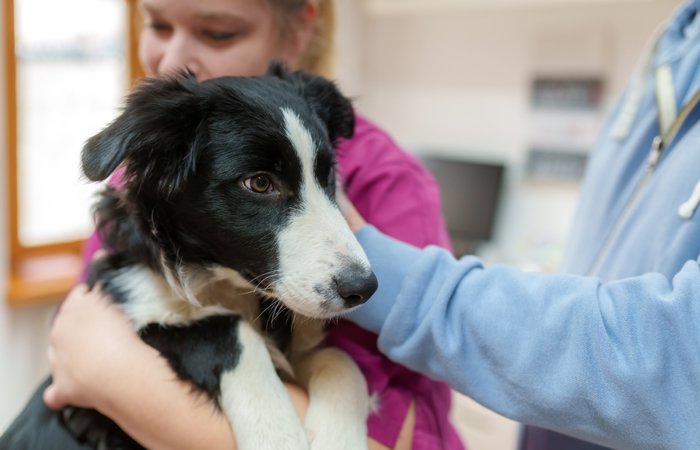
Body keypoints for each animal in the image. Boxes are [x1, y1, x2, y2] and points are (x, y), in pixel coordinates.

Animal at [0, 63, 378, 450]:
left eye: (328, 176)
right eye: (259, 183)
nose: (364, 288)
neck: (223, 282)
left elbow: (341, 360)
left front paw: (338, 436)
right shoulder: (140, 310)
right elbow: (227, 328)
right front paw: (277, 435)